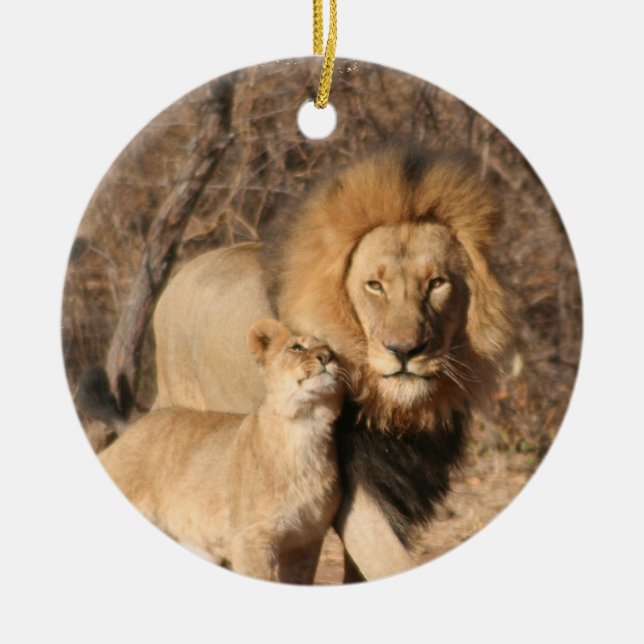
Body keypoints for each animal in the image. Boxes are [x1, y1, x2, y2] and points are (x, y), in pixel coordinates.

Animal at [96, 319, 344, 583]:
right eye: (296, 347)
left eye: (332, 351)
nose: (326, 357)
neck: (305, 425)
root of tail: (127, 434)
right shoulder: (251, 538)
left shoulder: (305, 541)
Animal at [153, 147, 510, 580]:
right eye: (375, 285)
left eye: (437, 283)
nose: (405, 350)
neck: (397, 412)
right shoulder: (354, 489)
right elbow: (388, 561)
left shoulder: (399, 485)